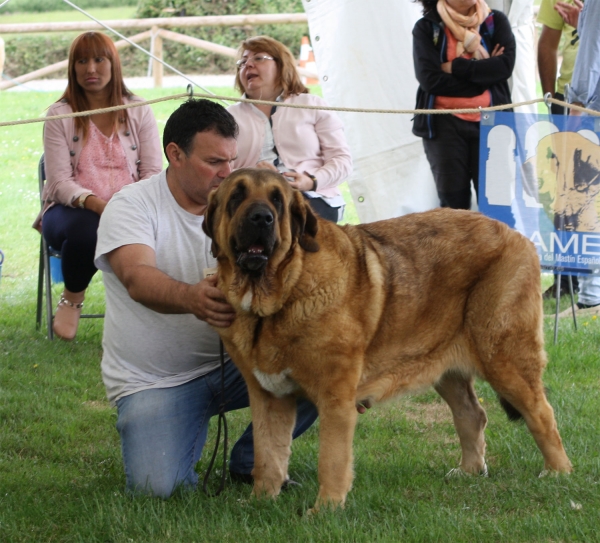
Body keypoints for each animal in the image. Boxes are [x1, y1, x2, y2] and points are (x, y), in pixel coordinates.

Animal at [203, 169, 572, 510]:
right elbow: (267, 454)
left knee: (542, 413)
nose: (261, 217)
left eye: (277, 201)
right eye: (237, 197)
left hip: (504, 356)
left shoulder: (335, 397)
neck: (280, 293)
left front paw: (325, 509)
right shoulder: (268, 396)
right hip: (444, 364)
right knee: (471, 413)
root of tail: (517, 235)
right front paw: (261, 501)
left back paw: (558, 472)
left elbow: (331, 458)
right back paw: (469, 471)